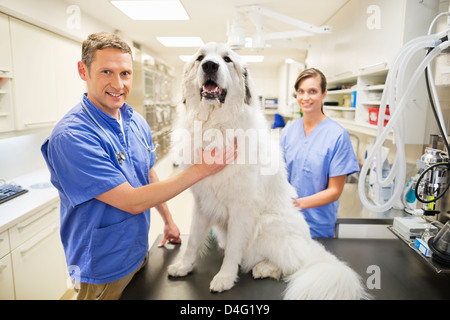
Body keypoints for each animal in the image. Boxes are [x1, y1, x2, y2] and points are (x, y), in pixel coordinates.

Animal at [167, 42, 368, 300]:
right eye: (200, 58)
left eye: (227, 59)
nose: (210, 65)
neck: (215, 125)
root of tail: (308, 246)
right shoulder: (201, 202)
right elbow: (192, 240)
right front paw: (184, 266)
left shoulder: (241, 208)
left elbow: (234, 249)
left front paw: (225, 277)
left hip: (269, 224)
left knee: (292, 264)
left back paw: (264, 268)